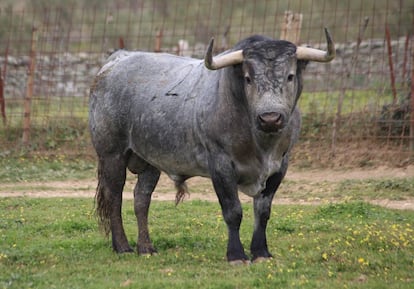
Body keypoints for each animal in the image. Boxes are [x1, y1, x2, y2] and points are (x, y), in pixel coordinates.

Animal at [89, 28, 334, 264]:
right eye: (248, 78)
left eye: (290, 76)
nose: (270, 118)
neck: (261, 143)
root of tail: (116, 60)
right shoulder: (220, 164)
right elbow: (233, 211)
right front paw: (236, 255)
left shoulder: (280, 165)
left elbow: (262, 211)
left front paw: (261, 252)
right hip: (112, 154)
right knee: (114, 197)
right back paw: (122, 246)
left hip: (150, 160)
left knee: (142, 198)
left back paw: (146, 248)